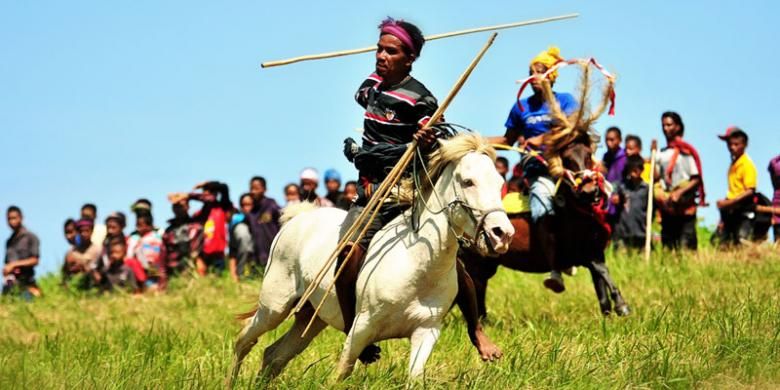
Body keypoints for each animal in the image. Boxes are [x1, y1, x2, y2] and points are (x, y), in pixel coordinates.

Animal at [229, 133, 516, 384]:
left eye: (500, 184)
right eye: (468, 181)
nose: (502, 234)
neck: (417, 266)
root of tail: (299, 217)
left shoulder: (426, 330)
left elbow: (414, 377)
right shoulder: (360, 329)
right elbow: (341, 372)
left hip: (311, 318)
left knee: (274, 355)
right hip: (274, 306)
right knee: (244, 340)